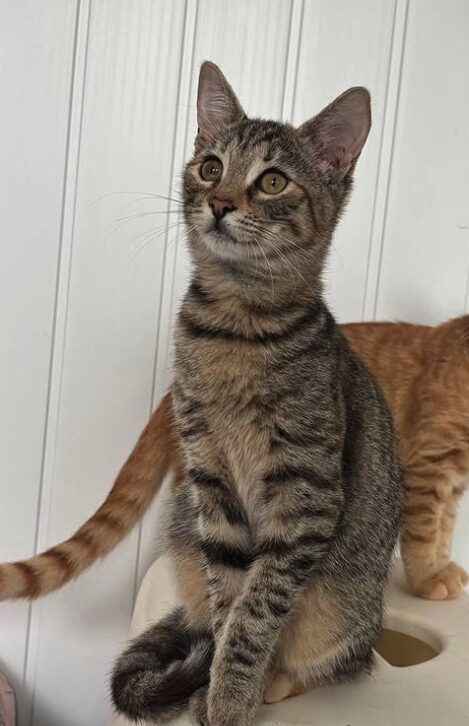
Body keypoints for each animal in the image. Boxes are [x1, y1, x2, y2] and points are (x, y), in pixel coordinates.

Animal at [1, 316, 466, 600]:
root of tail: (174, 387)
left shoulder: (454, 481)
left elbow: (443, 530)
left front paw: (442, 568)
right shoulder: (429, 467)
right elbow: (424, 533)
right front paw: (427, 580)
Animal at [111, 64, 400, 726]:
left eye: (272, 181)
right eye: (210, 166)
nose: (219, 203)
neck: (236, 328)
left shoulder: (305, 496)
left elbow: (259, 609)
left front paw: (232, 695)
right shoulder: (211, 480)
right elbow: (230, 600)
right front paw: (216, 680)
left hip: (343, 612)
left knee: (326, 664)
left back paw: (274, 681)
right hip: (185, 525)